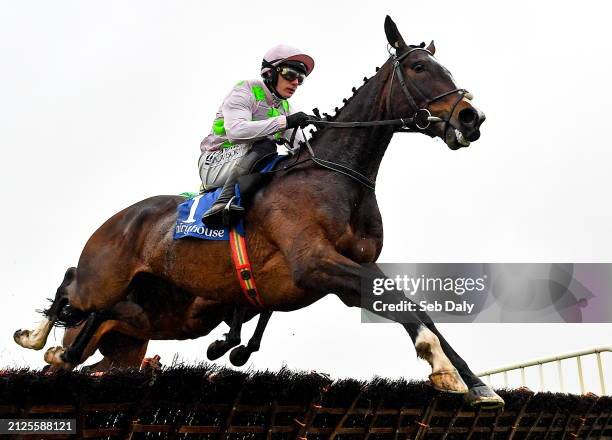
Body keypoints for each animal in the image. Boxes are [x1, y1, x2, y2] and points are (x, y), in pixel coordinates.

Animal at [14, 17, 504, 410]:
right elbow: (405, 309)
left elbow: (415, 308)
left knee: (86, 339)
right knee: (70, 285)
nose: (471, 117)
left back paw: (60, 351)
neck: (338, 176)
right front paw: (443, 369)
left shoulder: (357, 266)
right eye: (420, 68)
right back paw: (35, 337)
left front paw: (475, 384)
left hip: (141, 324)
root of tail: (116, 221)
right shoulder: (315, 264)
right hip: (104, 280)